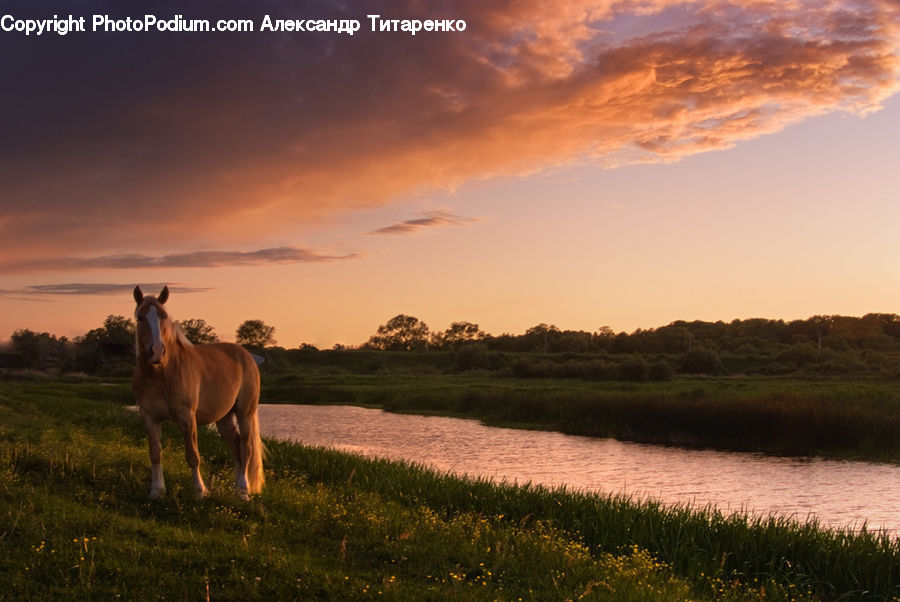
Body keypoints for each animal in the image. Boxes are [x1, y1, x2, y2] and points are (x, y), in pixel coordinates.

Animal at [132, 285, 264, 500]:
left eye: (163, 316)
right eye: (140, 317)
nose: (157, 352)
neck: (163, 373)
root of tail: (246, 355)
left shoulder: (187, 416)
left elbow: (193, 455)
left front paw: (200, 491)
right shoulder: (149, 416)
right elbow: (155, 453)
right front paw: (156, 490)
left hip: (244, 413)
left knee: (246, 448)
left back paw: (243, 490)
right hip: (224, 419)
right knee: (235, 446)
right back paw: (235, 488)